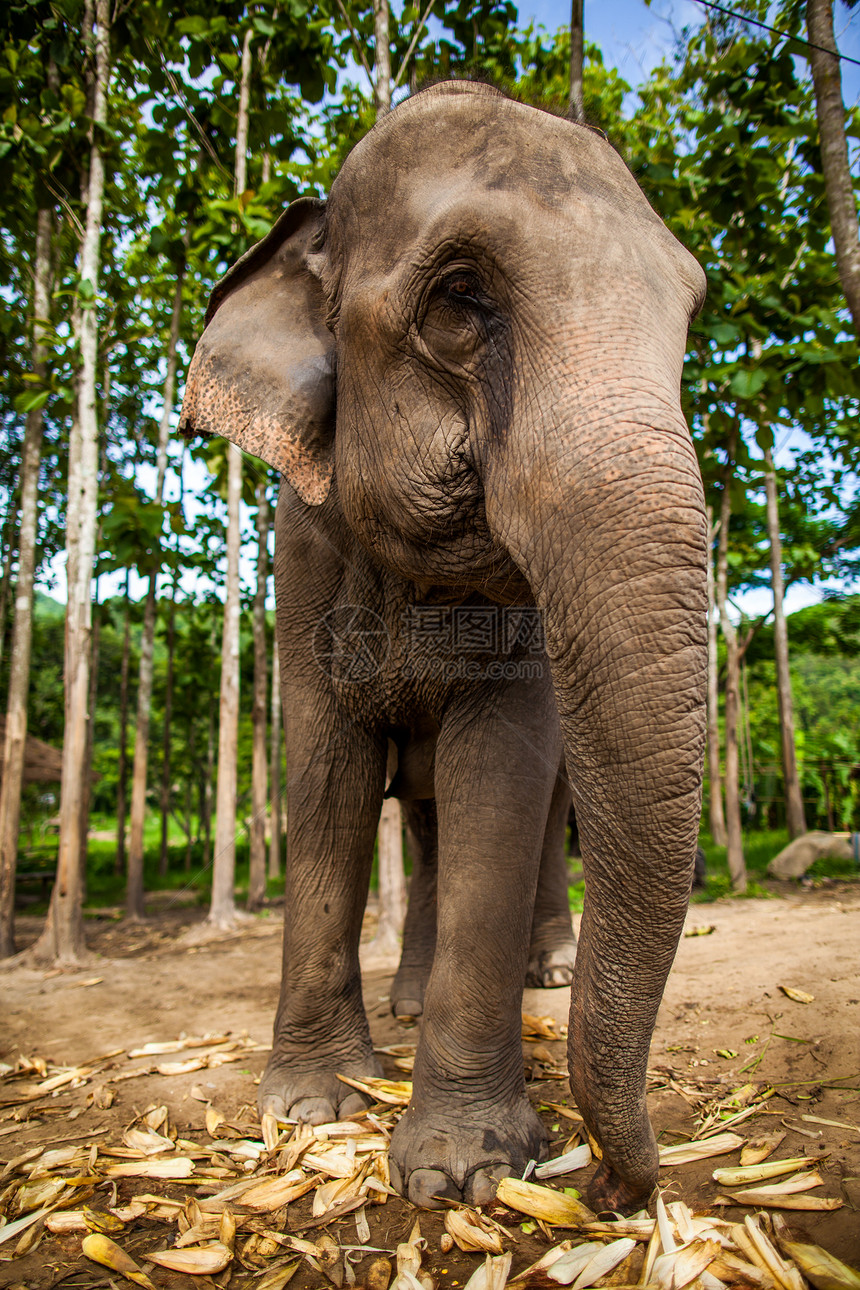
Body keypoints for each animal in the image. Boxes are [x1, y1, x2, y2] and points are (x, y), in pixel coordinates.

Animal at [180, 83, 706, 1217]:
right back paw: (410, 1001)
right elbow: (326, 772)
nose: (614, 1186)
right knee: (416, 823)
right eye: (460, 299)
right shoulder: (300, 552)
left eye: (687, 317)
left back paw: (544, 973)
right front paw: (312, 1105)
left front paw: (464, 1169)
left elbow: (499, 777)